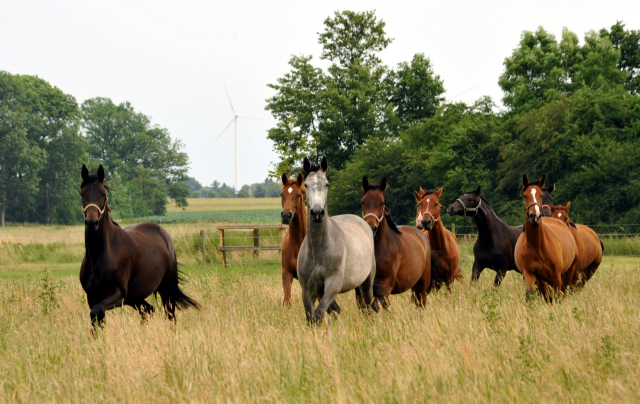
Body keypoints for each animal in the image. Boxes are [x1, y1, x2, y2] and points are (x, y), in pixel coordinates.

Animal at [80, 166, 200, 326]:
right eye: (82, 193)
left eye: (103, 194)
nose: (92, 222)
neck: (100, 254)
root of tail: (162, 232)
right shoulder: (92, 297)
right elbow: (96, 318)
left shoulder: (118, 295)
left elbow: (96, 311)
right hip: (134, 297)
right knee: (148, 310)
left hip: (166, 289)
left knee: (169, 314)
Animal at [298, 156, 378, 324]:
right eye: (306, 184)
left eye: (326, 184)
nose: (317, 212)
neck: (318, 249)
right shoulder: (307, 290)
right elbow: (312, 317)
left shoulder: (332, 285)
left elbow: (319, 313)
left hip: (366, 282)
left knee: (367, 306)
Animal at [360, 176, 436, 310]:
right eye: (363, 202)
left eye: (382, 203)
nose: (371, 228)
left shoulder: (384, 287)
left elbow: (374, 307)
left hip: (422, 285)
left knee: (421, 303)